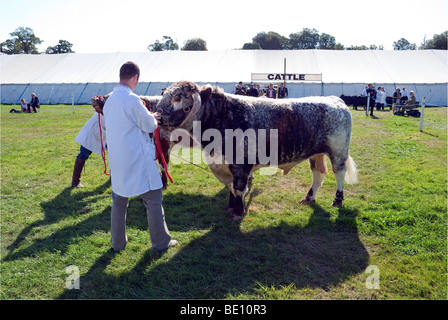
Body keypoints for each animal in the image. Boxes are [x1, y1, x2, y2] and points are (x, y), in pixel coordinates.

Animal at [158, 81, 356, 220]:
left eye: (178, 98)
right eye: (164, 95)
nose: (157, 116)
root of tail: (334, 99)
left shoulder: (240, 166)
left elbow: (238, 189)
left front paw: (238, 212)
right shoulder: (222, 164)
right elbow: (230, 188)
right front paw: (230, 207)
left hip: (338, 151)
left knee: (339, 173)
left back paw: (337, 200)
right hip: (316, 153)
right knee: (318, 174)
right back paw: (309, 197)